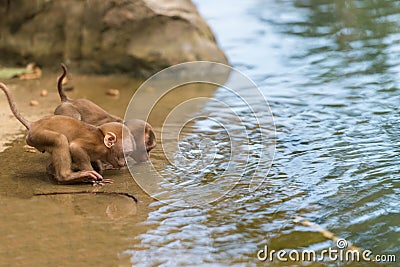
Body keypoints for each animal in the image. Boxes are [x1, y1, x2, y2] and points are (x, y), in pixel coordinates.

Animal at [0, 82, 135, 185]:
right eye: (126, 153)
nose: (124, 163)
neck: (101, 137)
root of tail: (34, 124)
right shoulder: (96, 145)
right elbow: (75, 148)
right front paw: (95, 178)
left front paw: (100, 169)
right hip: (37, 136)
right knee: (60, 140)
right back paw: (66, 176)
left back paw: (52, 172)